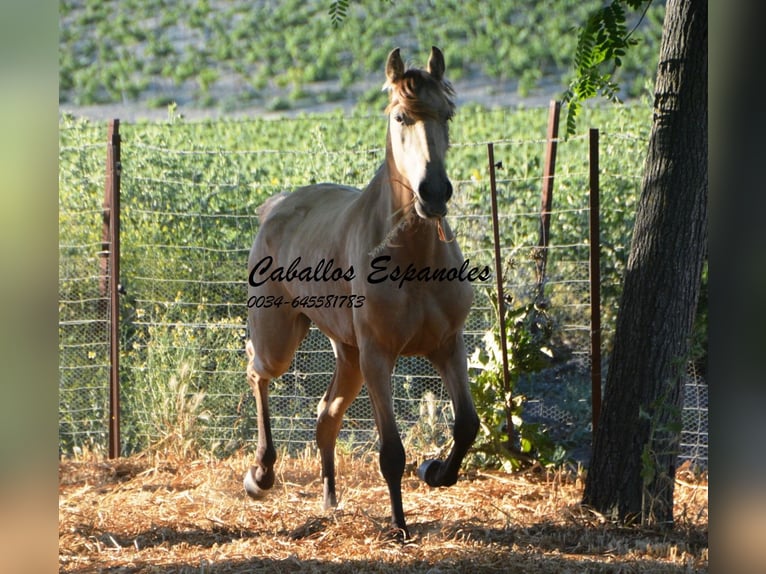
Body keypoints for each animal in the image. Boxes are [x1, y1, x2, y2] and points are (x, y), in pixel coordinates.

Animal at [246, 46, 480, 540]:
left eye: (447, 114)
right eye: (400, 117)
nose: (434, 192)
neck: (414, 256)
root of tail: (274, 207)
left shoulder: (448, 346)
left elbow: (468, 424)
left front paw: (435, 471)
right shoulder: (379, 356)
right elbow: (391, 451)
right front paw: (400, 525)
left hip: (348, 355)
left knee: (325, 416)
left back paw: (330, 499)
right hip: (281, 339)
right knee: (257, 369)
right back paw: (260, 474)